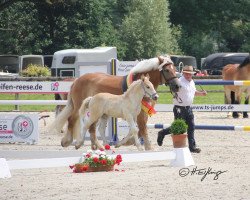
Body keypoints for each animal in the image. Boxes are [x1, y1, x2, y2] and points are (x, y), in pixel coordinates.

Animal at [50, 55, 180, 149]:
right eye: (167, 70)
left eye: (175, 69)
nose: (177, 86)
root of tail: (77, 80)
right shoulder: (139, 114)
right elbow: (142, 128)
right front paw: (147, 146)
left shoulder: (141, 113)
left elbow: (137, 129)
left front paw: (124, 142)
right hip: (80, 107)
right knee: (73, 120)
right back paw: (69, 141)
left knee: (92, 128)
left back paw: (96, 145)